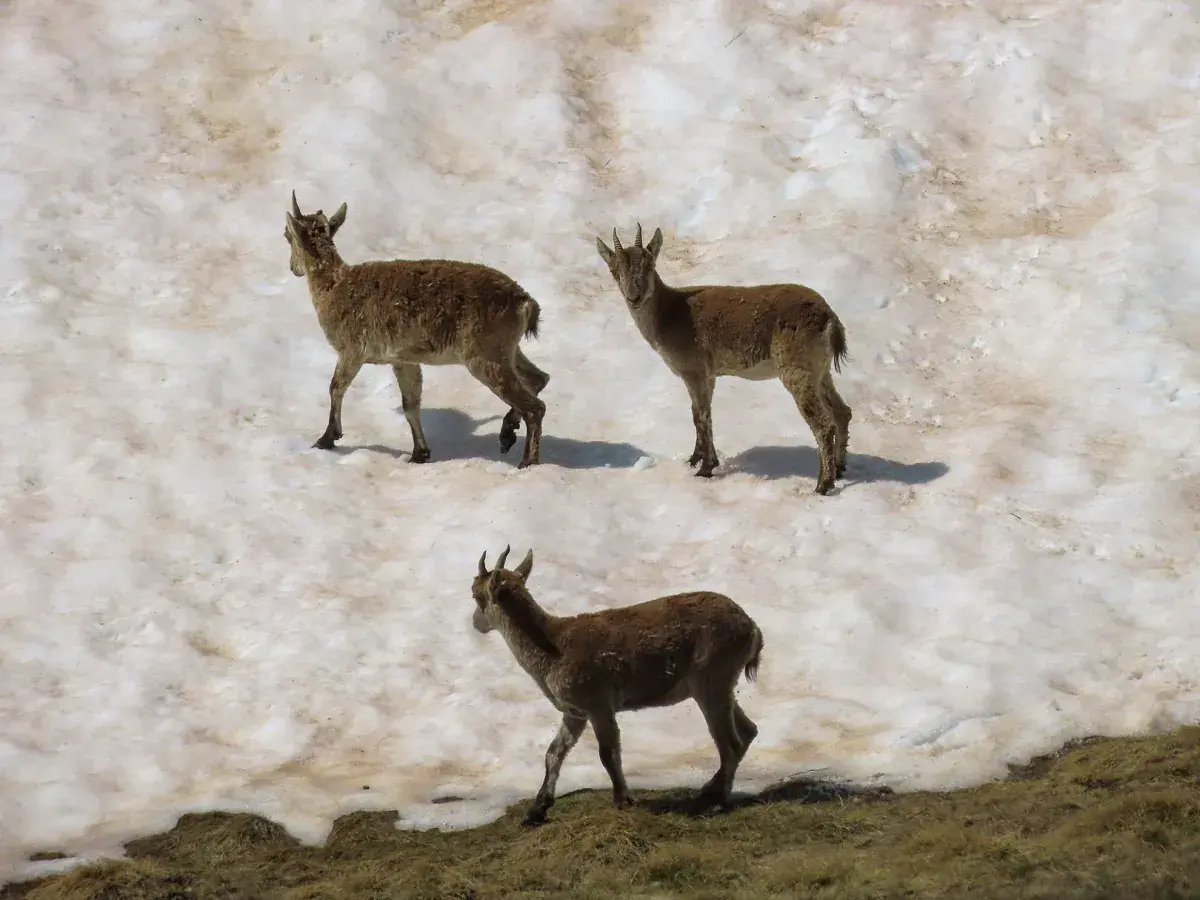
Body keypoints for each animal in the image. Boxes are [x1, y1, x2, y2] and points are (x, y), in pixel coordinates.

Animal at [284, 192, 550, 468]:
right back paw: (508, 432)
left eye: (286, 235)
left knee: (535, 407)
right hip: (508, 348)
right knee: (539, 378)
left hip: (485, 355)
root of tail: (526, 302)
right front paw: (419, 453)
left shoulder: (352, 351)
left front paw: (327, 438)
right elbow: (410, 403)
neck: (333, 287)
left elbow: (336, 387)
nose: (293, 268)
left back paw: (527, 461)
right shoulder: (403, 360)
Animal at [471, 546, 764, 825]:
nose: (475, 622)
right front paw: (536, 810)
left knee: (731, 742)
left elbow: (608, 752)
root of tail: (752, 628)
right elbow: (554, 752)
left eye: (475, 593)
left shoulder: (598, 703)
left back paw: (717, 802)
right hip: (719, 685)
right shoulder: (575, 712)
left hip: (710, 679)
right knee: (748, 731)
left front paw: (623, 800)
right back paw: (709, 790)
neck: (553, 647)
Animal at [595, 223, 852, 494]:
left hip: (796, 371)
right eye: (614, 270)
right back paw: (840, 468)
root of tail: (830, 319)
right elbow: (698, 414)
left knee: (824, 424)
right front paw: (695, 459)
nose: (634, 297)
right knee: (842, 412)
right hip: (821, 371)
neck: (668, 315)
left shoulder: (695, 370)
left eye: (650, 265)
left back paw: (822, 484)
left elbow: (702, 416)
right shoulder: (708, 375)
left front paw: (705, 469)